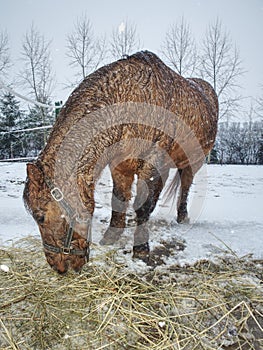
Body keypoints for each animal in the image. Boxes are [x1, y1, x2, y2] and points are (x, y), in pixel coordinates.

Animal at [24, 51, 219, 274]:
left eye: (40, 216)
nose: (57, 267)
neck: (130, 101)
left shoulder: (152, 162)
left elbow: (143, 205)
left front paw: (141, 249)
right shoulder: (119, 165)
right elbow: (118, 199)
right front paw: (111, 236)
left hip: (192, 162)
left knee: (185, 186)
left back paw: (182, 217)